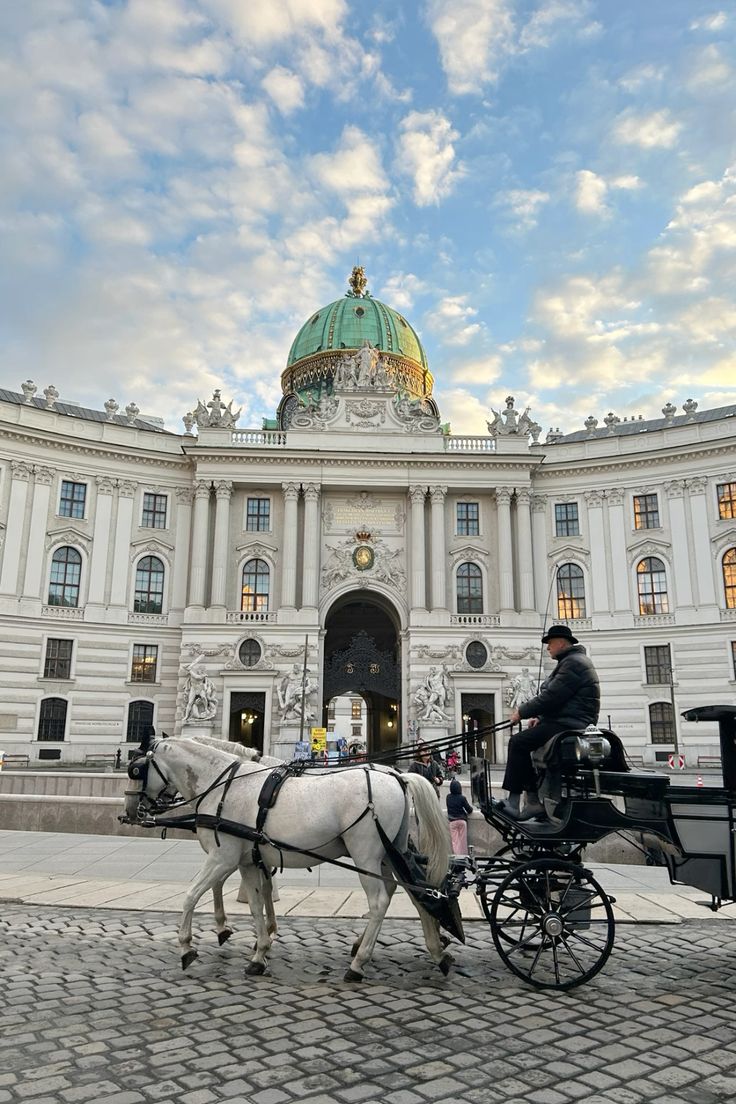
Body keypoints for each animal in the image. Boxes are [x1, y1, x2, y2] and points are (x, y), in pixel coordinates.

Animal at [126, 737, 454, 980]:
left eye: (136, 770)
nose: (130, 812)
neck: (225, 786)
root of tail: (398, 775)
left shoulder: (223, 856)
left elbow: (192, 895)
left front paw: (187, 947)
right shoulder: (247, 860)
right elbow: (256, 903)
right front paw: (259, 952)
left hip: (366, 854)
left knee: (380, 902)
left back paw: (359, 963)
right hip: (392, 851)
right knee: (416, 892)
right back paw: (436, 951)